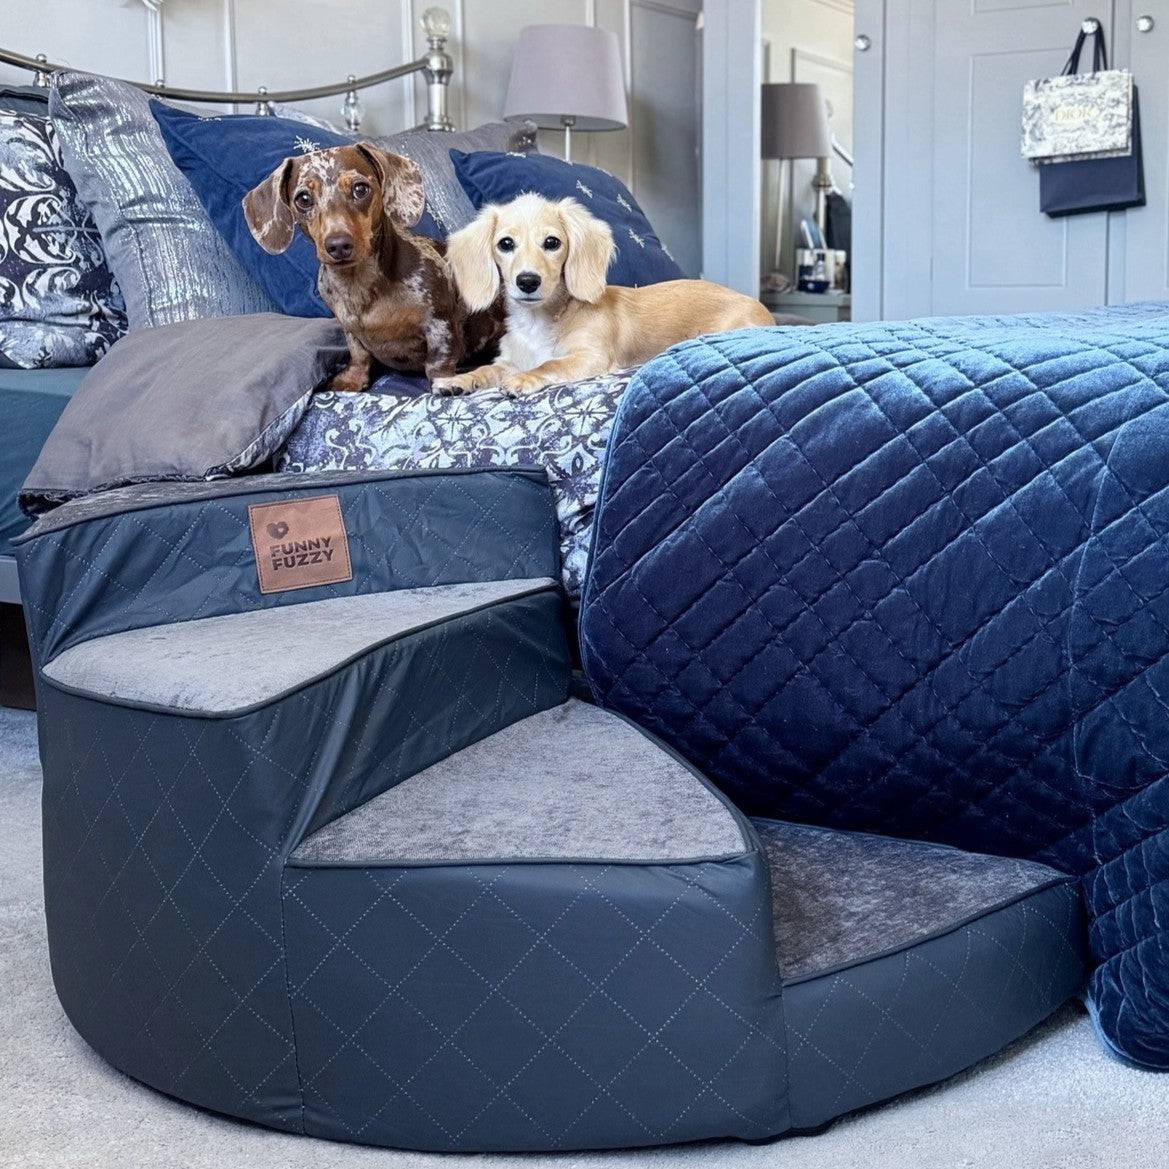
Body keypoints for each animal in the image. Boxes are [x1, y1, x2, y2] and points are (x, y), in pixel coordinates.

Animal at [243, 143, 503, 392]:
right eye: (303, 199)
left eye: (360, 189)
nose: (338, 245)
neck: (360, 285)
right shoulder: (350, 331)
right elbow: (359, 355)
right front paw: (352, 380)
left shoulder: (439, 323)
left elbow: (437, 363)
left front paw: (447, 383)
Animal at [431, 193, 774, 396]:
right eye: (505, 244)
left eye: (552, 242)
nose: (527, 281)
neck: (542, 321)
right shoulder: (510, 359)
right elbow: (487, 369)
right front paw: (458, 380)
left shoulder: (590, 357)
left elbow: (549, 365)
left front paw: (524, 378)